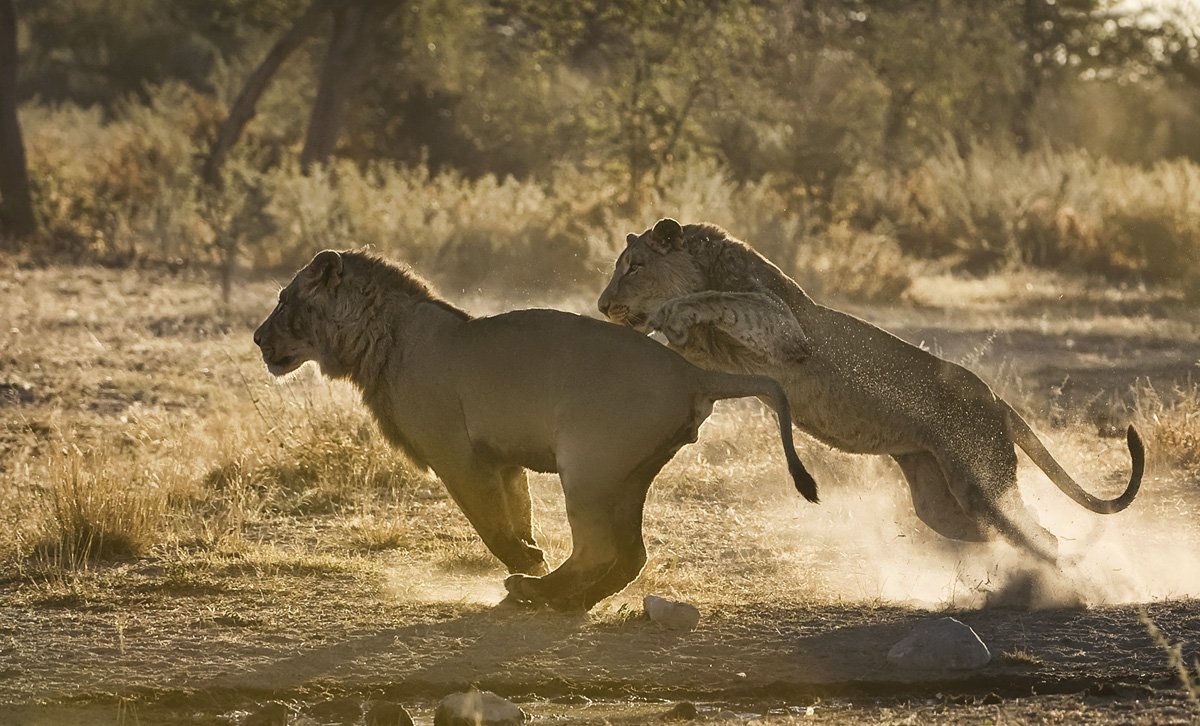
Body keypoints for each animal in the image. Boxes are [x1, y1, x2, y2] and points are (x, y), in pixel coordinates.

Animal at [252, 246, 816, 609]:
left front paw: (527, 561)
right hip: (628, 474)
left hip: (589, 465)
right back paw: (566, 601)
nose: (257, 339)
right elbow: (515, 511)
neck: (381, 337)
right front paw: (530, 552)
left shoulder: (459, 456)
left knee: (599, 549)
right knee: (630, 555)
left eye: (283, 301)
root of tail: (690, 371)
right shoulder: (501, 458)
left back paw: (535, 591)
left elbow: (490, 523)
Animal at [600, 216, 1142, 561]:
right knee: (1026, 535)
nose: (604, 305)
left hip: (981, 480)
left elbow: (717, 298)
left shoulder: (787, 331)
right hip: (942, 503)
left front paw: (672, 311)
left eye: (635, 266)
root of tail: (996, 398)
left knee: (1042, 538)